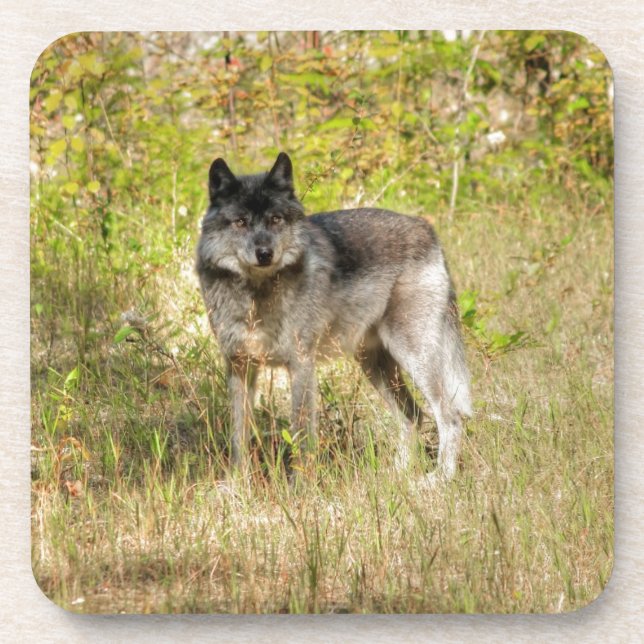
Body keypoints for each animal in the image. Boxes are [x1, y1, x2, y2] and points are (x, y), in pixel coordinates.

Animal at [196, 152, 471, 481]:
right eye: (240, 222)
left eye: (276, 219)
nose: (265, 253)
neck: (255, 295)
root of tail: (427, 229)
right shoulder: (240, 367)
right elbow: (239, 435)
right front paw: (238, 484)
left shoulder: (301, 365)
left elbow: (302, 437)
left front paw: (301, 487)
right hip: (375, 366)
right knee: (413, 417)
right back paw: (395, 477)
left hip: (413, 357)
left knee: (450, 416)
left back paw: (438, 480)